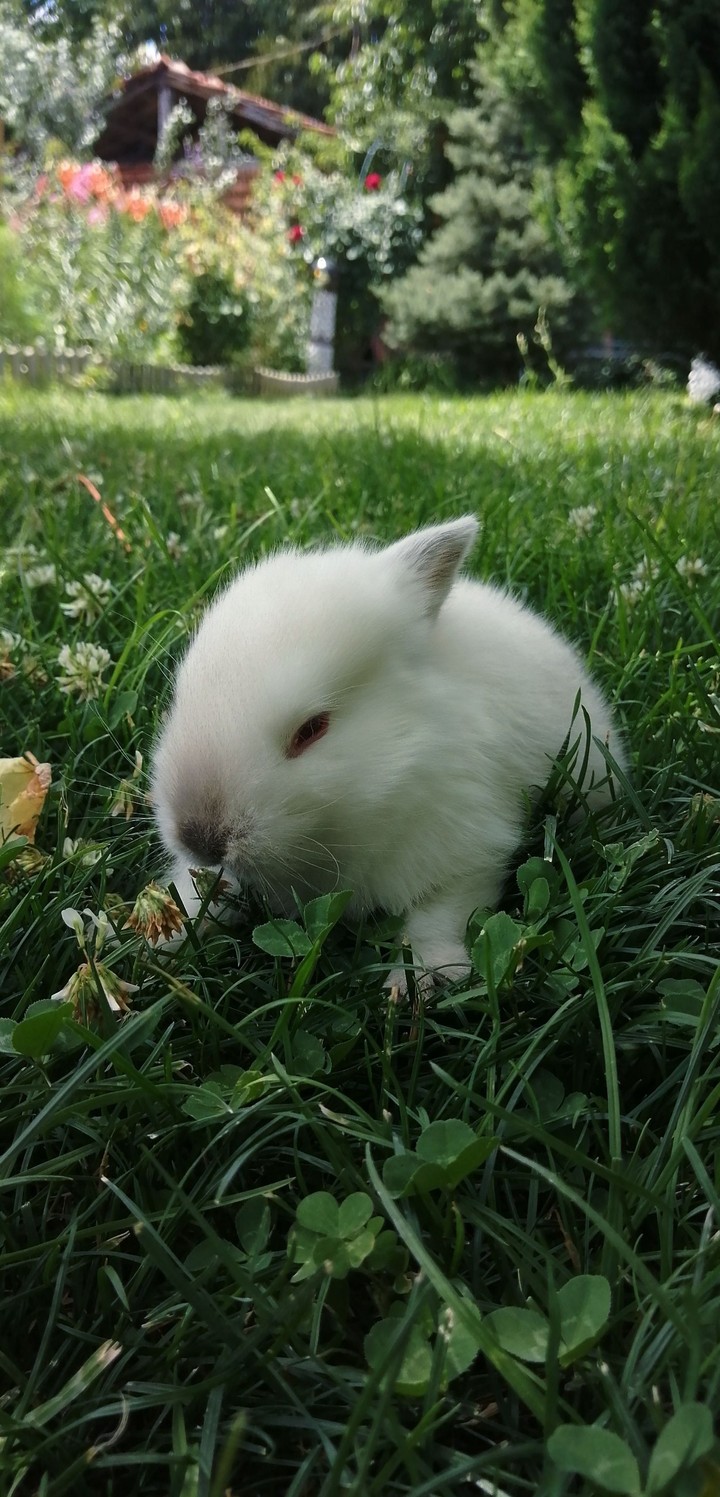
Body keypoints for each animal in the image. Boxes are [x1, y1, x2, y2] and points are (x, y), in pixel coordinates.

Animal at [150, 517, 627, 988]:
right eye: (181, 698)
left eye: (312, 729)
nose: (201, 841)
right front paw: (163, 941)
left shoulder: (465, 854)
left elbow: (436, 920)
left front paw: (419, 982)